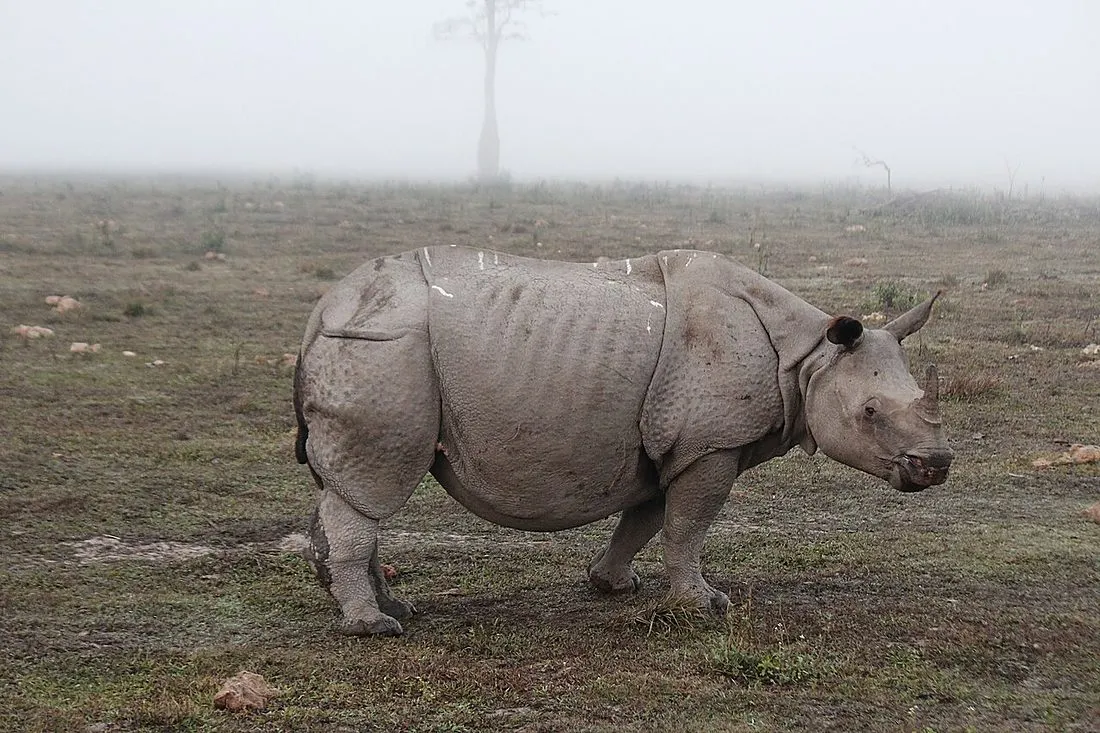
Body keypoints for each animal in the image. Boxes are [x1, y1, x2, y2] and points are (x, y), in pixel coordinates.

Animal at [293, 245, 952, 636]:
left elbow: (647, 518)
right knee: (371, 487)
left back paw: (391, 609)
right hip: (384, 351)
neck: (810, 357)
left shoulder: (672, 442)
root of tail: (323, 309)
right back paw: (374, 628)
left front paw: (611, 586)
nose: (938, 465)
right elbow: (688, 527)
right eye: (870, 412)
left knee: (350, 489)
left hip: (373, 347)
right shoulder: (711, 444)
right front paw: (705, 606)